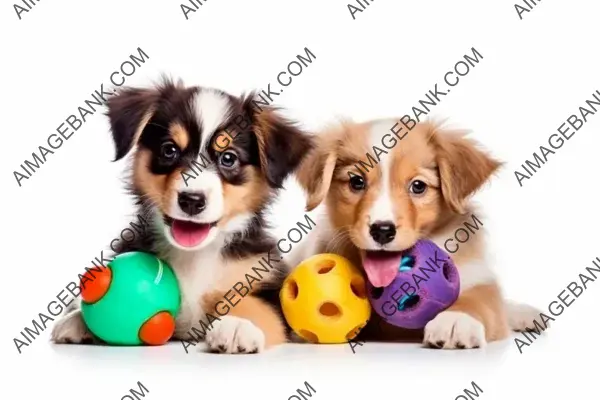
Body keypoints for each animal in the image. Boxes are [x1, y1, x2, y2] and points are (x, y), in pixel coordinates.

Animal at [51, 78, 312, 354]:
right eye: (169, 150)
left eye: (228, 158)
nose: (192, 201)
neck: (194, 257)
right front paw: (78, 318)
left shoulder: (267, 288)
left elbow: (256, 305)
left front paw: (238, 325)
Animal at [298, 119, 540, 350]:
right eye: (356, 182)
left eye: (418, 186)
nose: (382, 231)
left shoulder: (477, 276)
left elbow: (481, 300)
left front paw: (456, 320)